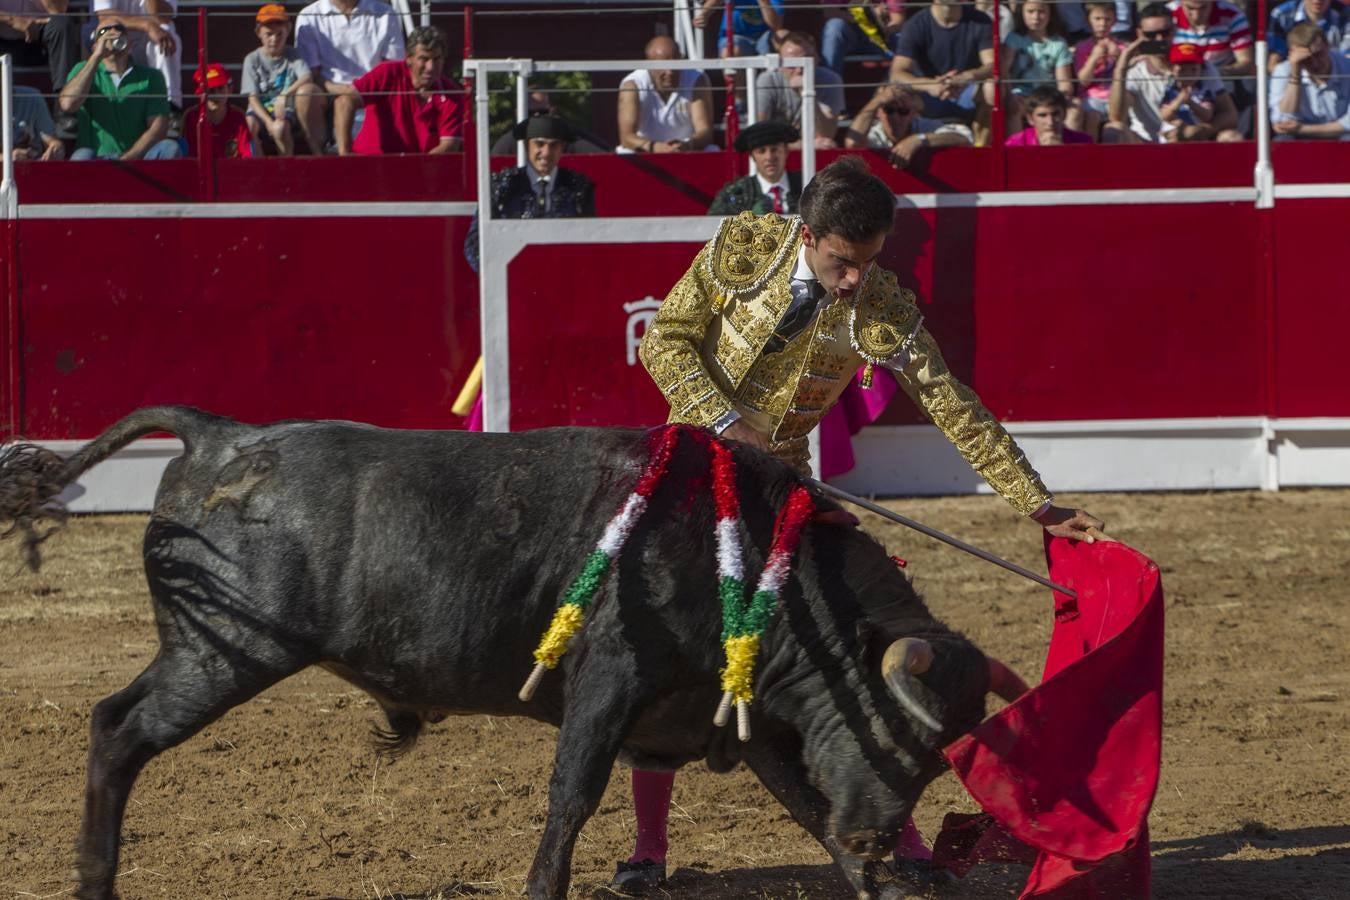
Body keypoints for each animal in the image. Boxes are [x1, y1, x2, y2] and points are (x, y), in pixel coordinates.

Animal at [0, 410, 1015, 900]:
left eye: (938, 760)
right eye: (893, 731)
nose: (881, 840)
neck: (761, 562)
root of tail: (220, 434)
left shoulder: (745, 717)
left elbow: (807, 808)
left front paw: (878, 885)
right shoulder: (610, 682)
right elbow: (573, 798)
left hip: (214, 654)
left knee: (115, 727)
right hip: (223, 654)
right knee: (117, 729)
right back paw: (93, 880)